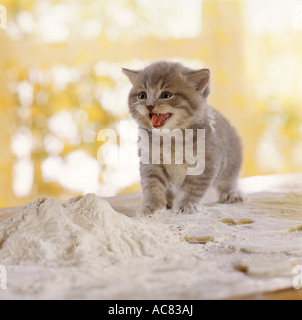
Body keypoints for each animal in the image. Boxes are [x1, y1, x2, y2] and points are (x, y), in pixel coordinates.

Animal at [122, 60, 243, 215]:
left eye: (166, 95)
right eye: (142, 95)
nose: (149, 105)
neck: (170, 137)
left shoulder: (205, 161)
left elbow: (194, 187)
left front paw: (188, 204)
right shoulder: (150, 160)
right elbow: (152, 184)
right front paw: (152, 205)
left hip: (231, 163)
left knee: (228, 181)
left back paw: (232, 193)